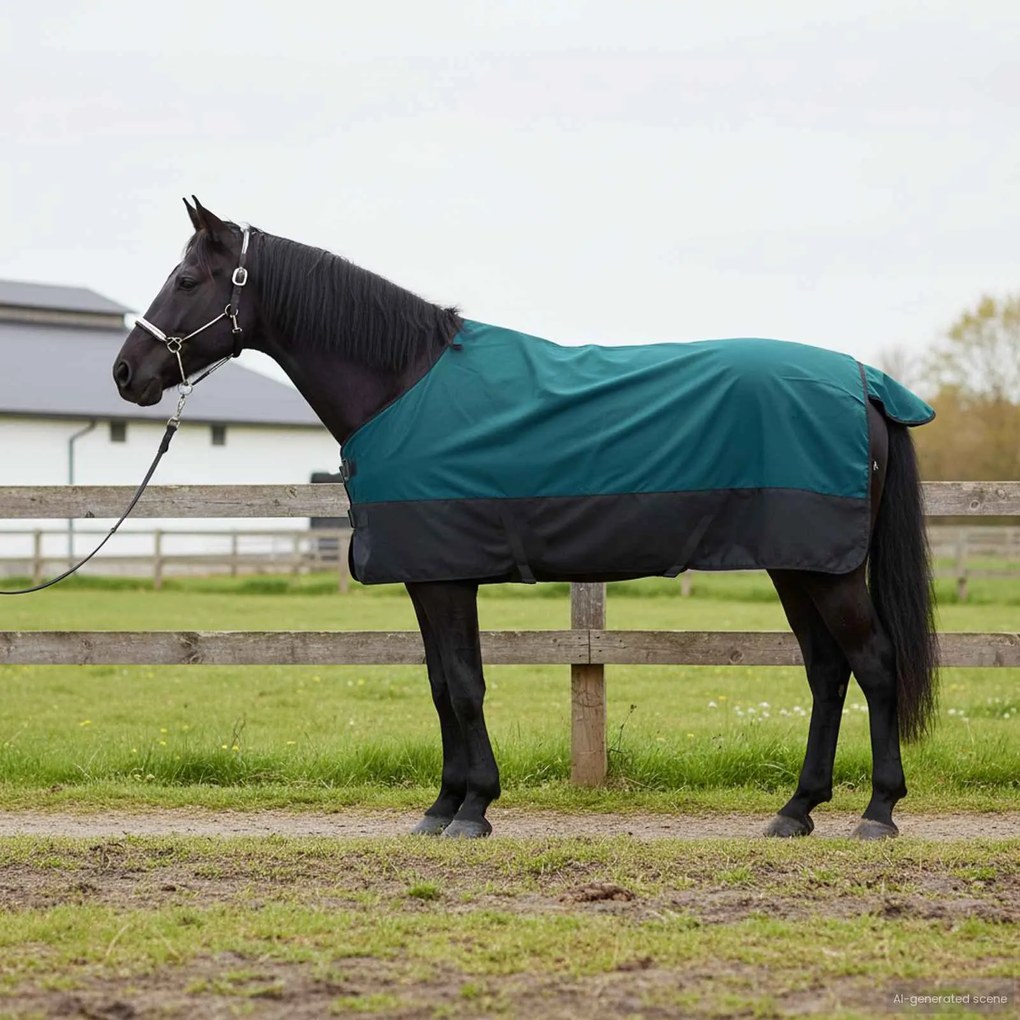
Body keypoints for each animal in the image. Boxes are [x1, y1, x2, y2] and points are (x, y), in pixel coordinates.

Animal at [112, 198, 938, 840]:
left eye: (186, 280)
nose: (126, 373)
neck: (401, 383)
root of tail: (864, 381)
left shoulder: (445, 579)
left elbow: (463, 686)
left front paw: (472, 808)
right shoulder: (432, 578)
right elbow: (443, 684)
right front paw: (445, 805)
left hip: (826, 571)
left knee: (874, 664)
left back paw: (878, 811)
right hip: (798, 565)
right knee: (827, 671)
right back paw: (796, 810)